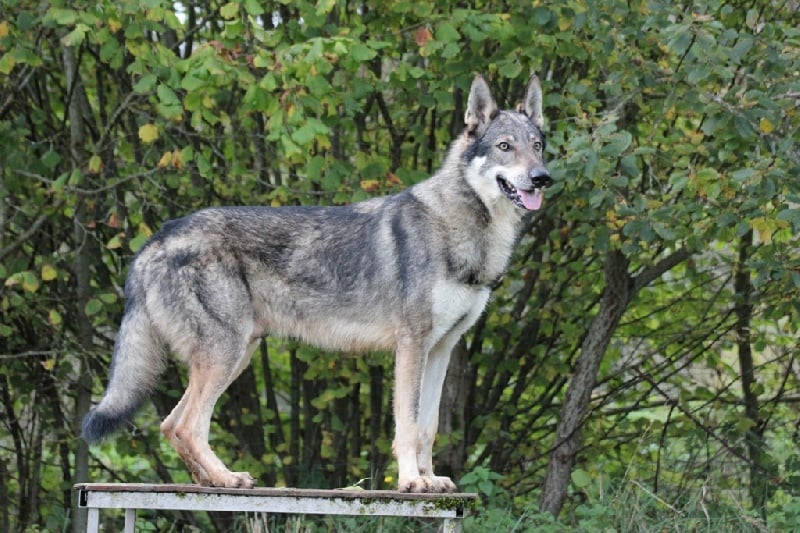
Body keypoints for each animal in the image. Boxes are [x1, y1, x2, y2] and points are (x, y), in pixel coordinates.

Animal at [82, 73, 552, 493]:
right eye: (504, 147)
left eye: (537, 146)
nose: (542, 177)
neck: (465, 228)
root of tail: (157, 237)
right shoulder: (412, 345)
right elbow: (406, 424)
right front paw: (410, 482)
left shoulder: (442, 350)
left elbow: (428, 426)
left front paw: (431, 479)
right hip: (225, 355)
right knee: (186, 425)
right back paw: (226, 479)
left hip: (237, 354)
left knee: (171, 423)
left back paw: (210, 480)